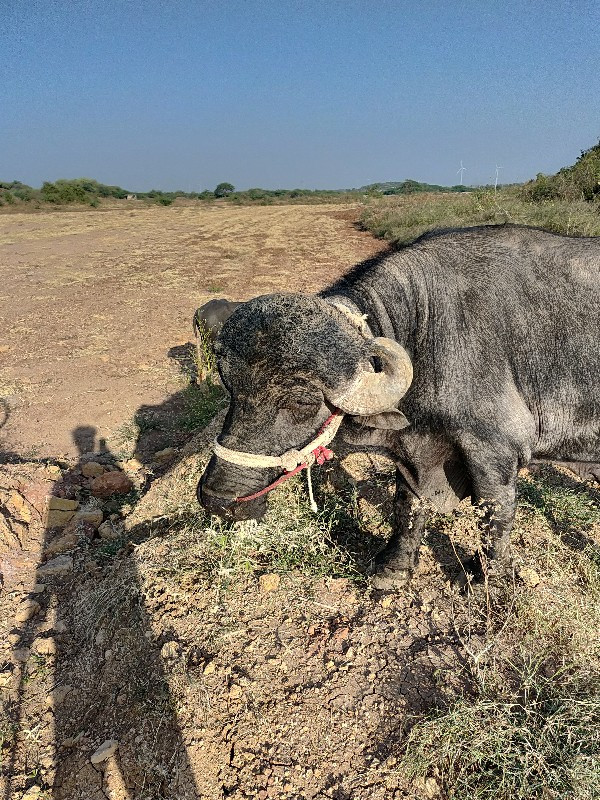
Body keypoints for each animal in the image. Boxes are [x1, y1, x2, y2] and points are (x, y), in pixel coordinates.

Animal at [197, 225, 600, 588]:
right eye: (230, 387)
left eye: (303, 401)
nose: (217, 500)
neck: (427, 330)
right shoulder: (413, 451)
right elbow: (407, 505)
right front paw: (395, 568)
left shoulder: (495, 453)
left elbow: (494, 520)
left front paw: (490, 582)